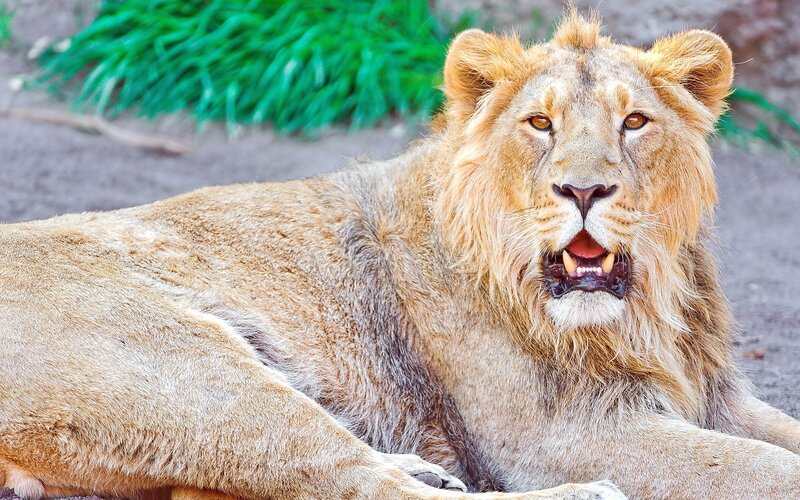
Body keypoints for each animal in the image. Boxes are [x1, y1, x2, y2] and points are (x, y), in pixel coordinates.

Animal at [2, 10, 800, 500]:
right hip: (195, 376)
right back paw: (581, 496)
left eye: (634, 122)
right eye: (539, 124)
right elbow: (758, 467)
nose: (583, 189)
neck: (646, 312)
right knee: (356, 482)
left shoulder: (722, 399)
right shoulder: (563, 434)